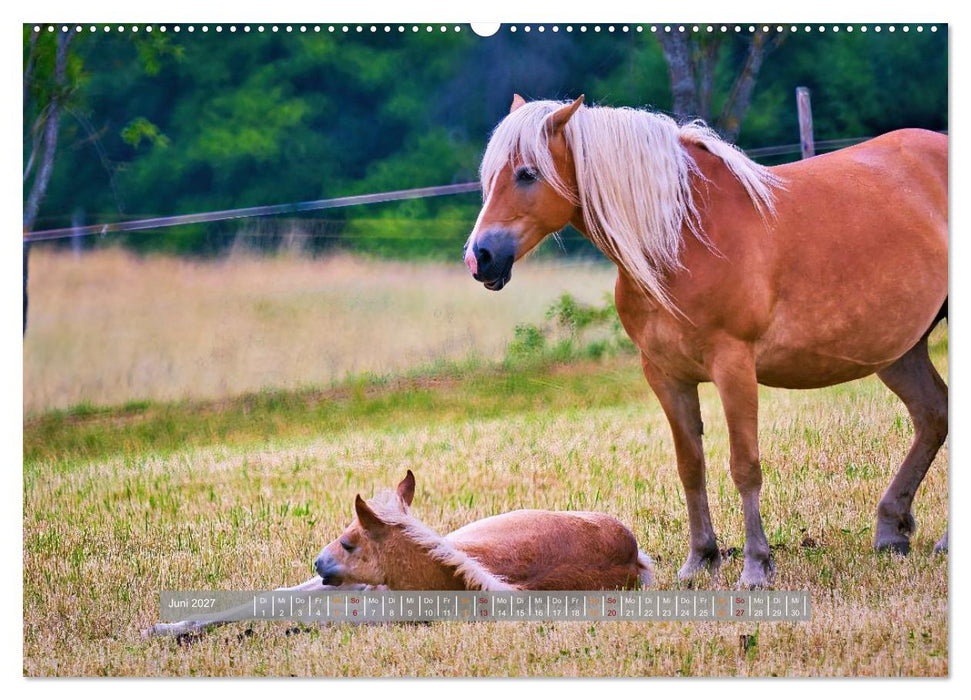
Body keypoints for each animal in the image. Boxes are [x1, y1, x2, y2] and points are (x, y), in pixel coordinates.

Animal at [463, 95, 947, 588]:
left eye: (527, 173)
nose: (479, 257)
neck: (683, 237)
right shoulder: (666, 375)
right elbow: (690, 467)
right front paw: (700, 559)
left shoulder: (734, 367)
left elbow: (744, 466)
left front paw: (755, 567)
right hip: (900, 348)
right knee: (933, 416)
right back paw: (891, 530)